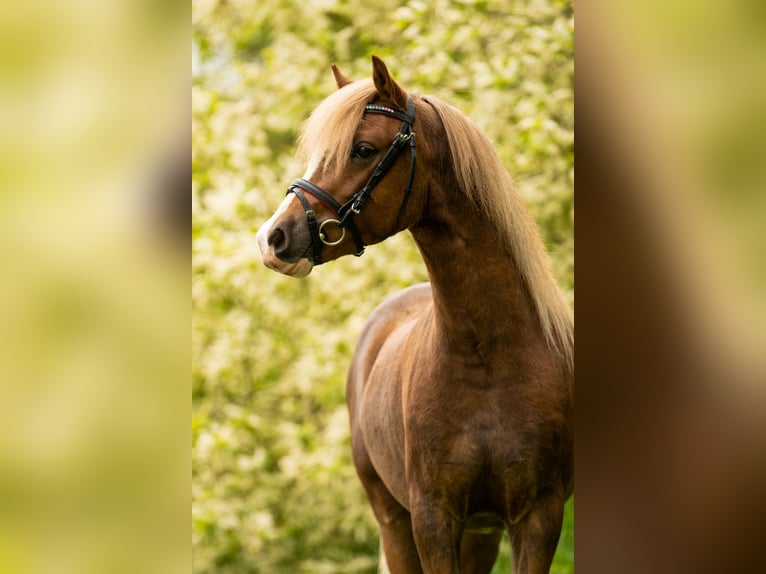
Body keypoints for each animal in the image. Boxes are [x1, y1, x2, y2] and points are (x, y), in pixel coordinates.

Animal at [255, 56, 572, 572]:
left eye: (363, 149)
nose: (272, 238)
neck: (487, 359)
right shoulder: (432, 519)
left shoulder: (538, 518)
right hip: (393, 521)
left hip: (480, 533)